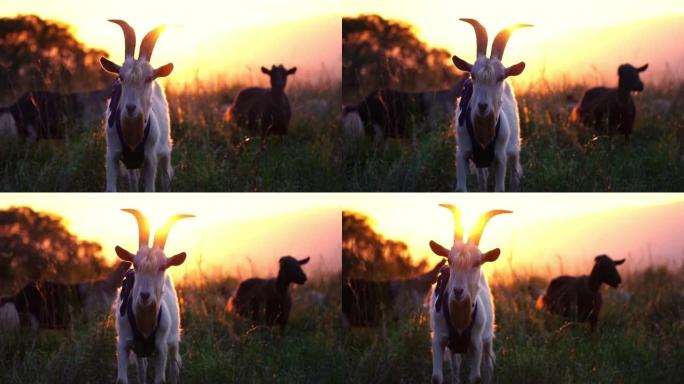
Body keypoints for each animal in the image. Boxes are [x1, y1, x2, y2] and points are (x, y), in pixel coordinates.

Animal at [101, 20, 176, 192]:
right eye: (120, 77)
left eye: (148, 78)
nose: (130, 108)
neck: (133, 136)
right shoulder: (112, 155)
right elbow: (111, 189)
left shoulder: (150, 158)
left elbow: (150, 189)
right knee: (133, 181)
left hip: (165, 148)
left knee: (166, 177)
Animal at [113, 210, 192, 384]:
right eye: (135, 265)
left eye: (162, 266)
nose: (144, 296)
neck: (145, 324)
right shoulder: (123, 344)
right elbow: (122, 379)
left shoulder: (160, 347)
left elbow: (160, 380)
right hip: (139, 351)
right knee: (142, 369)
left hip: (174, 339)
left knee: (174, 367)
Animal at [430, 202, 510, 382]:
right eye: (450, 260)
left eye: (477, 263)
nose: (458, 291)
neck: (460, 318)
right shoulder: (438, 339)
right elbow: (437, 377)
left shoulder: (476, 344)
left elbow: (475, 377)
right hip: (453, 348)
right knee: (456, 366)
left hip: (488, 338)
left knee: (488, 365)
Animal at [452, 18, 532, 192]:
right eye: (472, 75)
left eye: (500, 77)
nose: (482, 106)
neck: (483, 135)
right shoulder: (462, 154)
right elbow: (462, 188)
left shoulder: (500, 157)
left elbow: (500, 188)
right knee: (483, 180)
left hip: (514, 148)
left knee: (514, 177)